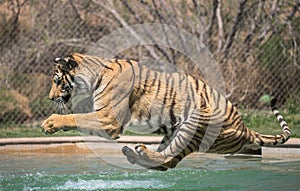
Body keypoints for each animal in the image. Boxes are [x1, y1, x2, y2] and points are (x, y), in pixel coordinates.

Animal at [42, 53, 290, 171]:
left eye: (57, 81)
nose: (50, 98)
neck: (95, 76)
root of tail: (246, 129)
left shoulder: (108, 120)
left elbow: (75, 117)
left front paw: (49, 123)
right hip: (173, 131)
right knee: (166, 161)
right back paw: (135, 152)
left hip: (197, 121)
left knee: (168, 159)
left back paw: (139, 153)